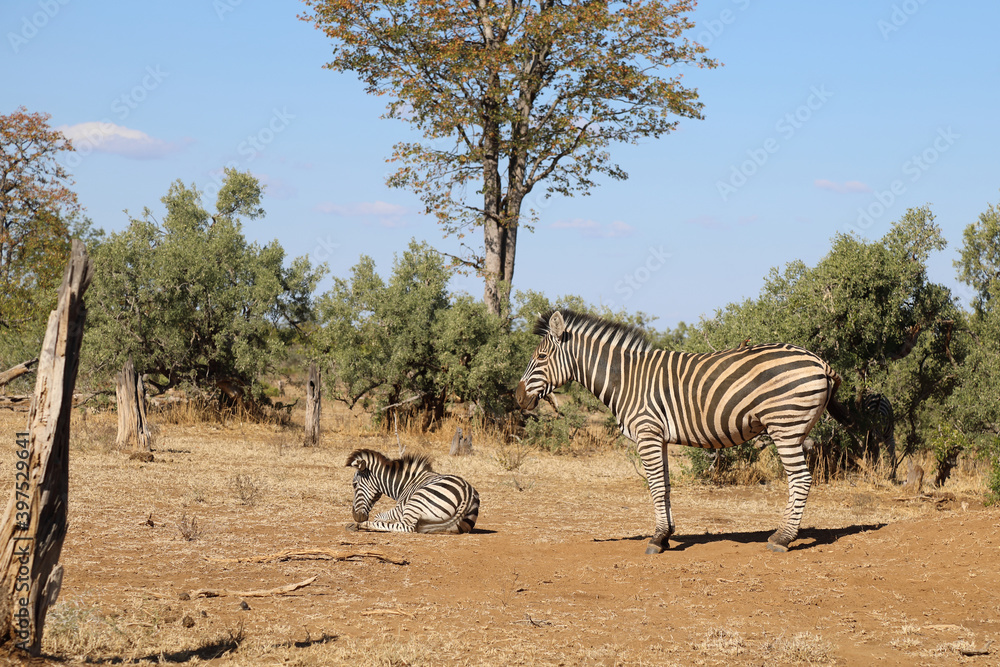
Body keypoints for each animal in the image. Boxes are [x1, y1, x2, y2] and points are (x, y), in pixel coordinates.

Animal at [345, 449, 480, 534]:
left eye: (354, 485)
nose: (355, 516)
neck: (406, 483)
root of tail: (466, 495)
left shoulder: (399, 509)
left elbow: (378, 516)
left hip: (416, 501)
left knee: (406, 527)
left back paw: (358, 525)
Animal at [515, 310, 851, 554]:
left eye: (541, 357)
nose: (517, 397)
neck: (625, 379)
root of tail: (819, 360)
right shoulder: (659, 437)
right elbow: (664, 485)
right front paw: (666, 534)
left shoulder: (647, 432)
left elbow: (654, 486)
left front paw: (657, 539)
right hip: (795, 429)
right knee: (799, 479)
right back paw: (781, 533)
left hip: (785, 426)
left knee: (801, 479)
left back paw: (783, 539)